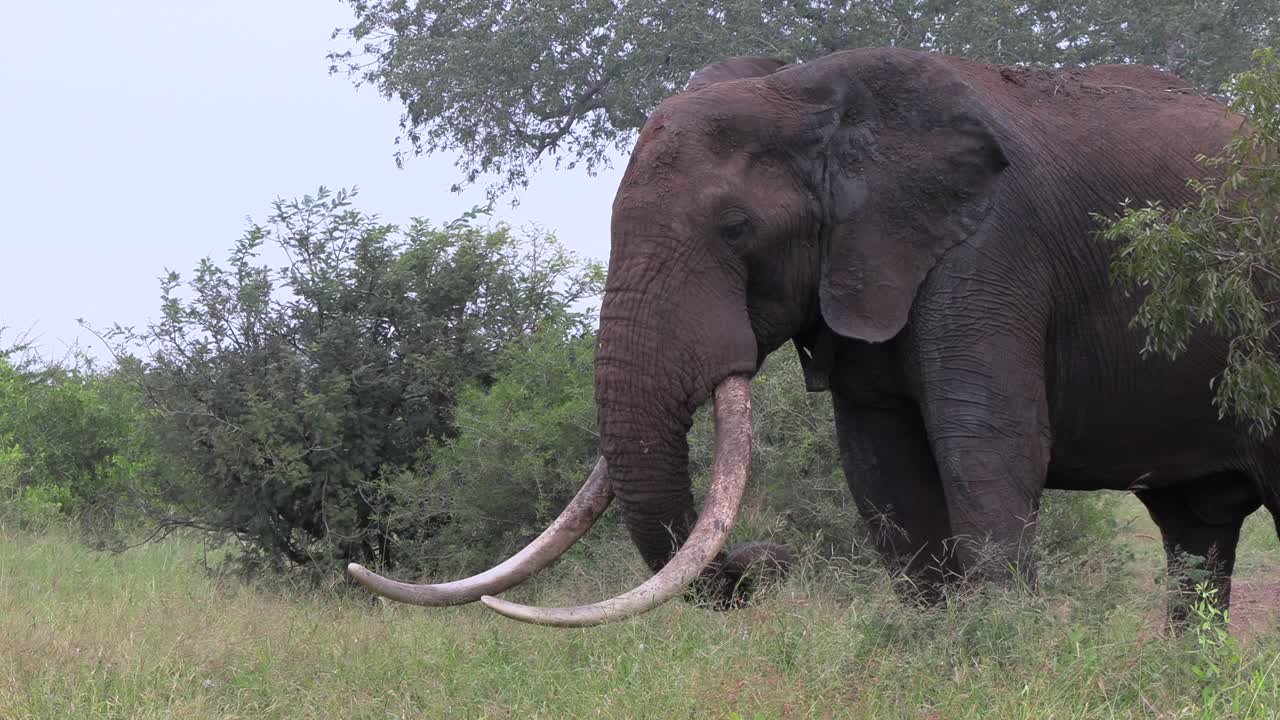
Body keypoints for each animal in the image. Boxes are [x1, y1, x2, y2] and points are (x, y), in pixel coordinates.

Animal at [350, 47, 1268, 627]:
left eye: (734, 228)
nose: (765, 557)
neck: (809, 96)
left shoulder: (990, 248)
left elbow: (990, 446)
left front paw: (1006, 657)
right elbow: (881, 468)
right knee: (1194, 534)